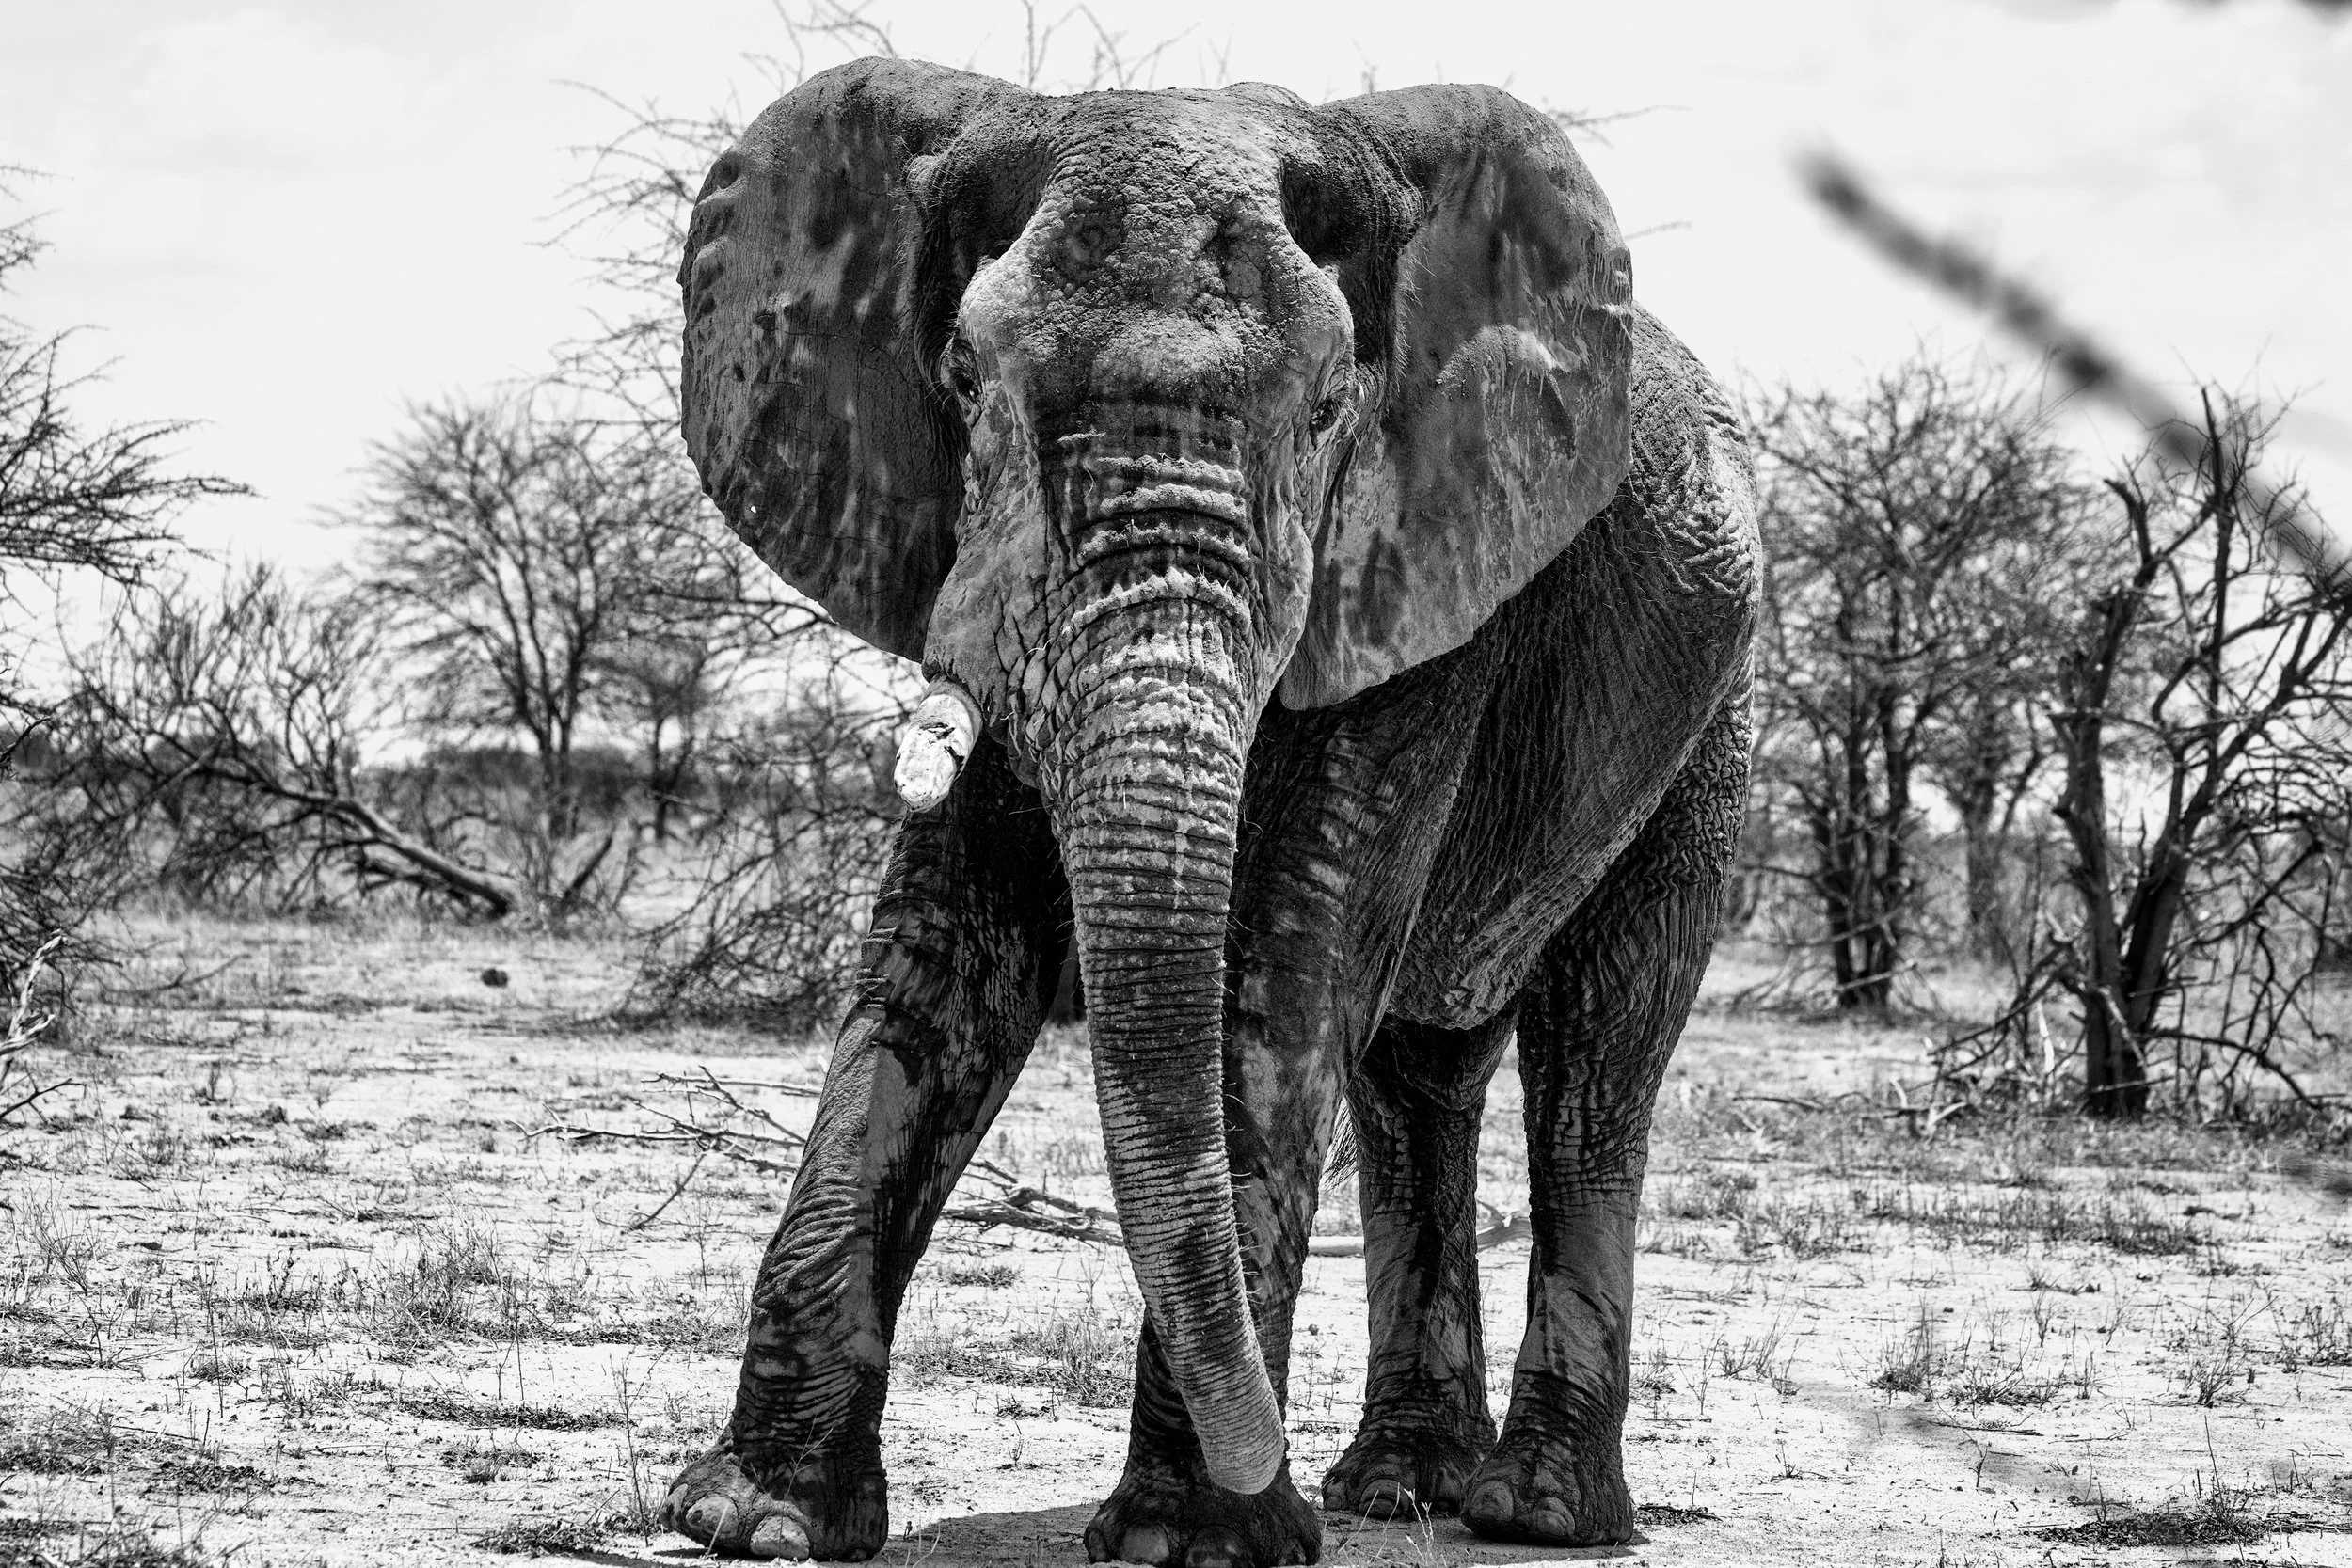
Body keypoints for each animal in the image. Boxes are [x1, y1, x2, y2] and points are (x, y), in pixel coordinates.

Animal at [660, 57, 1758, 1567]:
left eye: (1329, 410)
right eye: (962, 380)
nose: (1262, 1459)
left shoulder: (1419, 583)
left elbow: (1285, 970)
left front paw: (1189, 1541)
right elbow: (948, 962)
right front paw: (752, 1518)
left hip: (1707, 730)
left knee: (1601, 1047)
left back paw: (1534, 1511)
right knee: (1416, 1076)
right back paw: (1390, 1488)